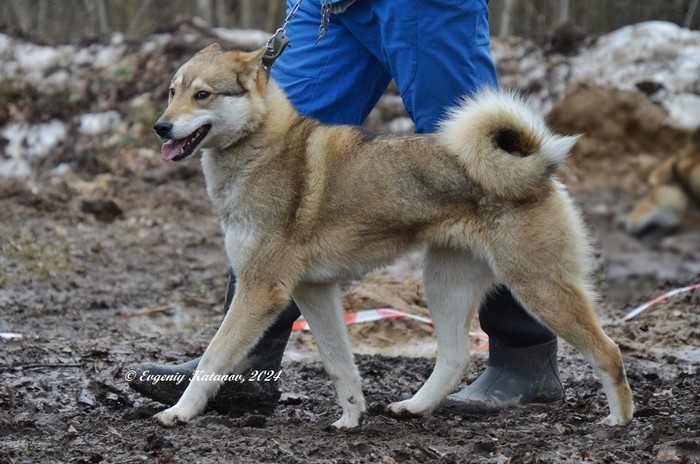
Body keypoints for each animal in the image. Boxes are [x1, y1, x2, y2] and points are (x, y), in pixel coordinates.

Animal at [150, 43, 634, 429]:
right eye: (173, 92)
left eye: (203, 94)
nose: (160, 127)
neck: (261, 149)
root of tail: (536, 166)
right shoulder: (312, 291)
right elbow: (339, 364)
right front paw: (350, 417)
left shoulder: (261, 288)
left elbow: (215, 355)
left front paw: (180, 411)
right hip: (445, 283)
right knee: (454, 357)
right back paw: (415, 407)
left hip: (539, 287)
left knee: (608, 351)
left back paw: (619, 419)